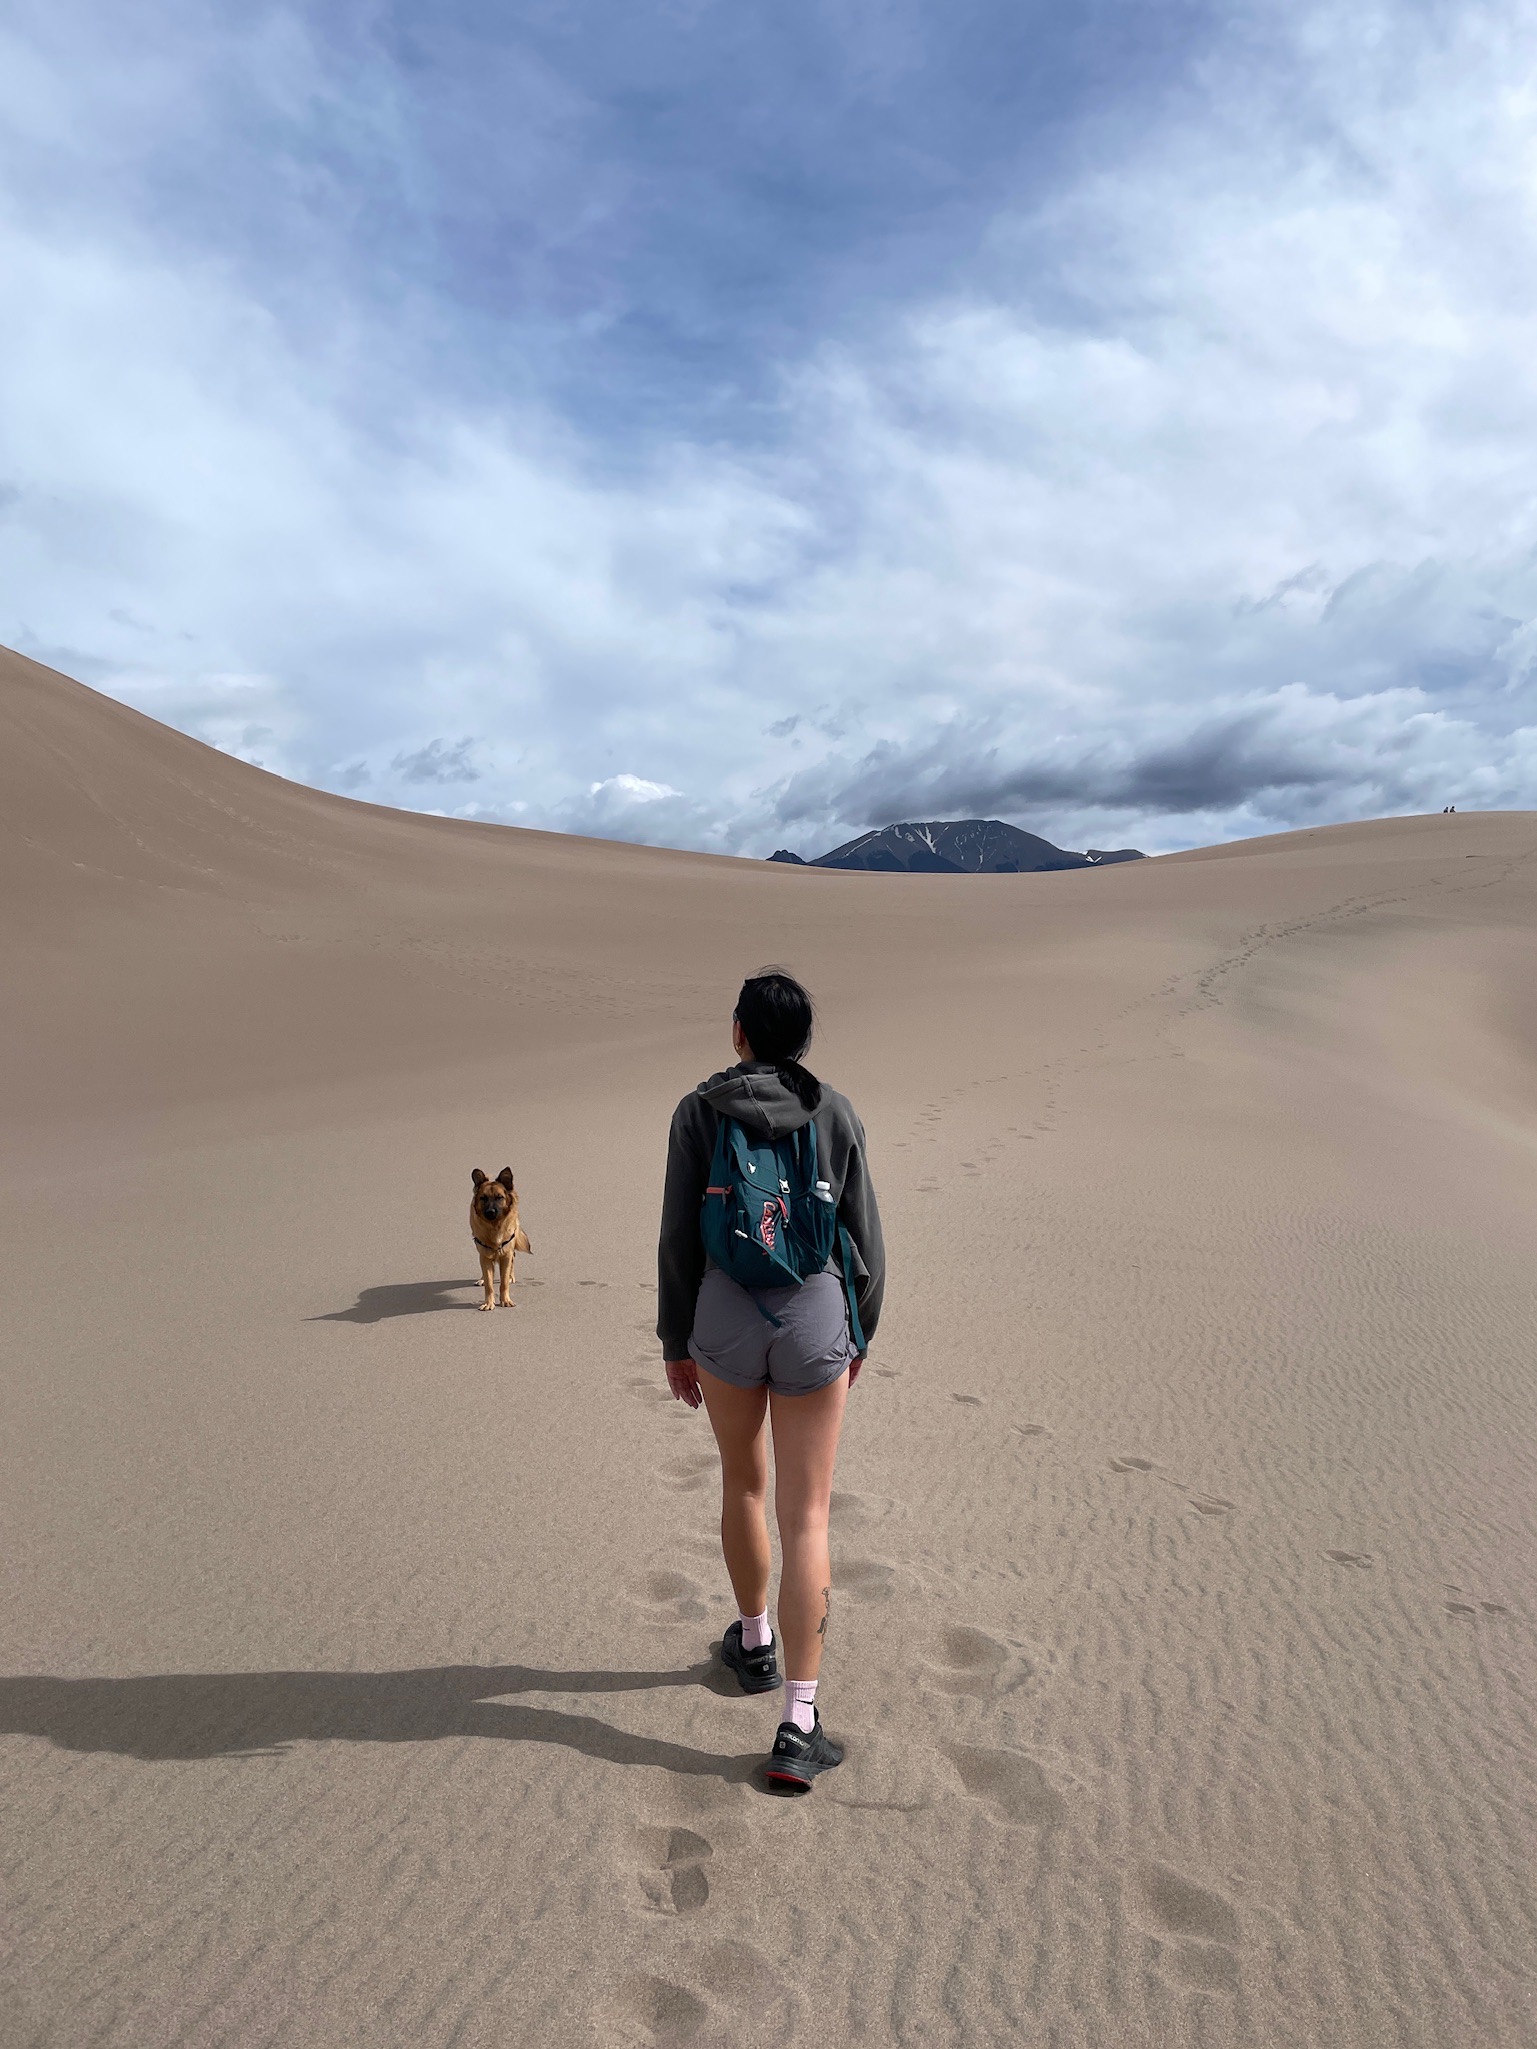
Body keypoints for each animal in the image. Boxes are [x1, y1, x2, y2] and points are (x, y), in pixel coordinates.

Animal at [473, 1172, 532, 1311]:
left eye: (500, 1197)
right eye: (483, 1198)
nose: (490, 1212)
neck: (495, 1226)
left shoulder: (506, 1254)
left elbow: (504, 1282)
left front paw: (505, 1300)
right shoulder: (485, 1255)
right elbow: (489, 1284)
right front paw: (489, 1303)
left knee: (513, 1259)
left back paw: (511, 1276)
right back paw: (482, 1279)